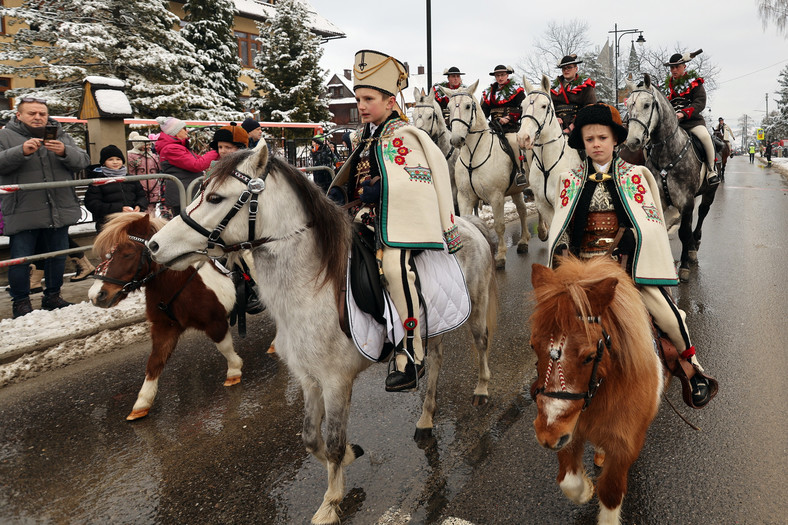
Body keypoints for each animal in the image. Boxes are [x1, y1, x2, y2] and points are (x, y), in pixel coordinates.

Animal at [87, 211, 240, 420]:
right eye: (104, 255)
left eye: (128, 254)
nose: (96, 295)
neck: (180, 281)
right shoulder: (165, 327)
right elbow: (155, 362)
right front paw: (142, 403)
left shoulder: (215, 323)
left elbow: (224, 347)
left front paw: (234, 371)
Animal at [146, 143, 498, 524]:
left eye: (214, 197)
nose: (153, 246)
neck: (310, 287)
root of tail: (468, 222)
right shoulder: (308, 378)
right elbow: (311, 438)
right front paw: (350, 458)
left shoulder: (335, 381)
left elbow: (332, 442)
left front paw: (330, 503)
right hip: (435, 326)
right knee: (433, 362)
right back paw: (426, 417)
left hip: (476, 307)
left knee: (481, 343)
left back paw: (481, 390)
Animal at [438, 82, 528, 270]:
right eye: (449, 107)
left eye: (467, 106)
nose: (456, 140)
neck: (474, 154)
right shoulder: (464, 198)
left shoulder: (496, 197)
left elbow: (499, 225)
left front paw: (500, 256)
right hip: (517, 191)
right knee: (523, 211)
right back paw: (524, 241)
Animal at [528, 256, 664, 520]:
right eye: (533, 346)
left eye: (590, 356)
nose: (548, 436)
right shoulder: (571, 431)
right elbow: (568, 482)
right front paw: (585, 490)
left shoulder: (624, 447)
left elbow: (610, 493)